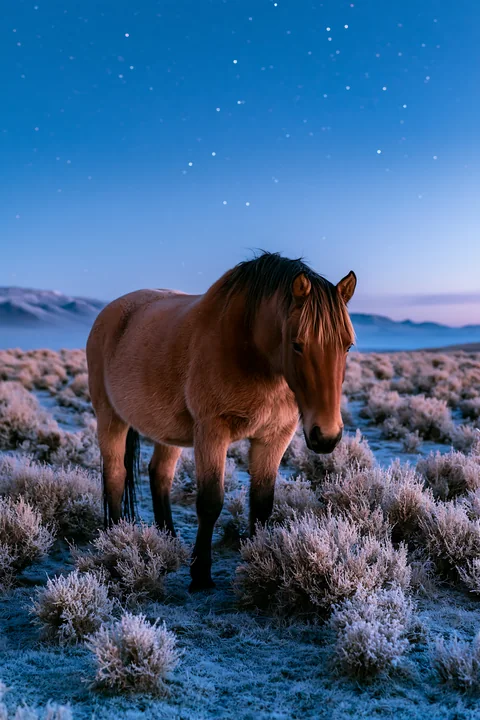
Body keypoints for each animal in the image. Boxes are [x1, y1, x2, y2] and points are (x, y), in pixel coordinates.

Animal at [86, 252, 356, 591]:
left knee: (159, 474)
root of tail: (109, 313)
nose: (327, 436)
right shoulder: (212, 431)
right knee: (115, 476)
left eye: (347, 345)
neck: (247, 348)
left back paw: (168, 539)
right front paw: (201, 575)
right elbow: (210, 502)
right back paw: (116, 536)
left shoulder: (274, 437)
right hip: (110, 416)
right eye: (297, 344)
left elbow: (262, 503)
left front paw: (259, 562)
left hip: (166, 431)